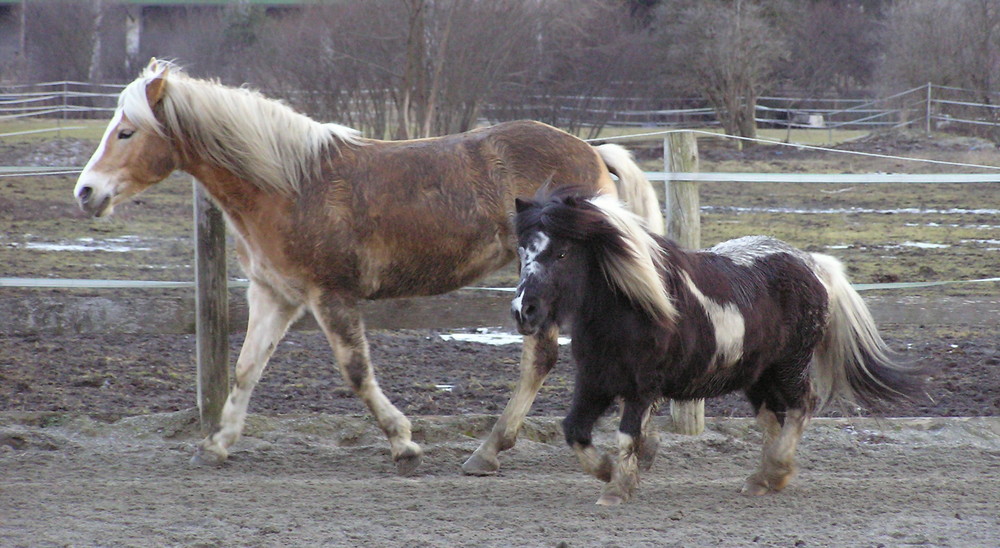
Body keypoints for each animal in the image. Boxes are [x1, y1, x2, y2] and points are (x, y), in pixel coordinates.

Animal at [72, 61, 664, 476]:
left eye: (126, 132)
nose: (86, 192)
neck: (289, 185)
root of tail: (593, 152)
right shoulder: (274, 295)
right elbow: (245, 370)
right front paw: (216, 445)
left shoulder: (330, 295)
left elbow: (356, 372)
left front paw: (405, 445)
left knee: (555, 354)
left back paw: (495, 451)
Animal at [512, 188, 924, 506]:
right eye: (521, 252)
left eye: (562, 253)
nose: (523, 311)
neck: (630, 309)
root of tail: (813, 265)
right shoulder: (595, 382)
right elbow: (574, 431)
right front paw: (611, 471)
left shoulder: (643, 388)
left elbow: (627, 435)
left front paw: (618, 487)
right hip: (758, 376)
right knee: (773, 418)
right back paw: (762, 478)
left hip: (789, 366)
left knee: (800, 407)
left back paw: (775, 471)